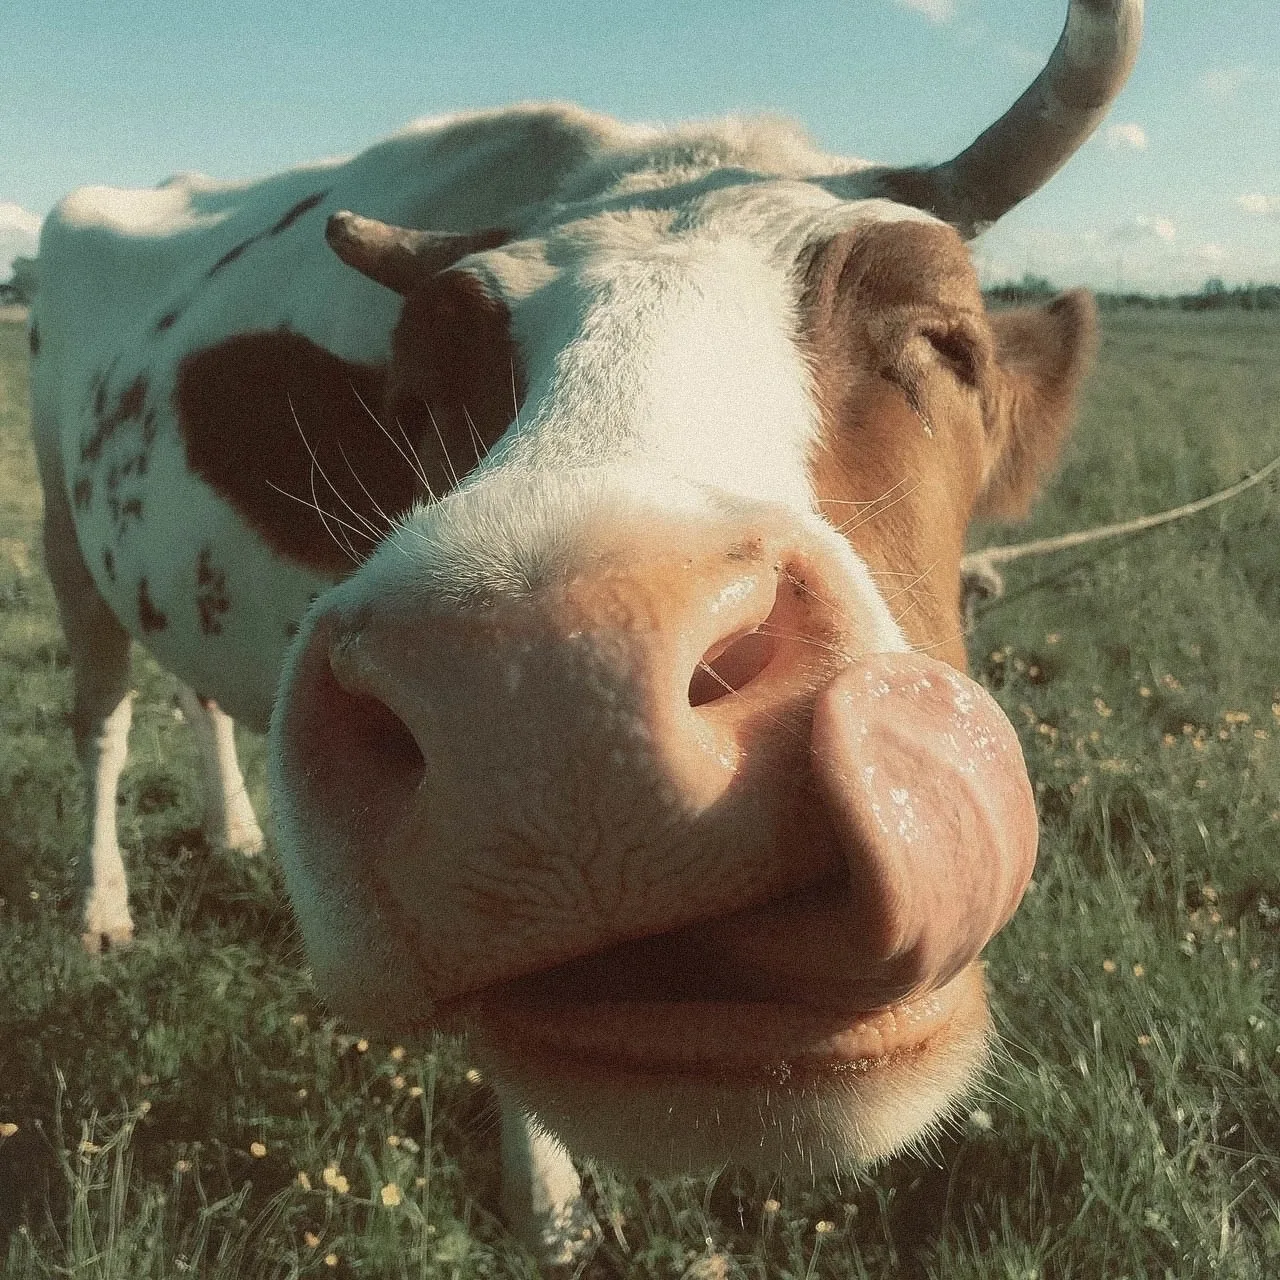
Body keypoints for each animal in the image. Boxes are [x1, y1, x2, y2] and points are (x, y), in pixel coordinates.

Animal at [30, 0, 1141, 1265]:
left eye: (946, 340)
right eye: (418, 388)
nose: (552, 709)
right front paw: (549, 1206)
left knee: (199, 691)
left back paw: (231, 829)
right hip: (64, 536)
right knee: (103, 721)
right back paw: (101, 906)